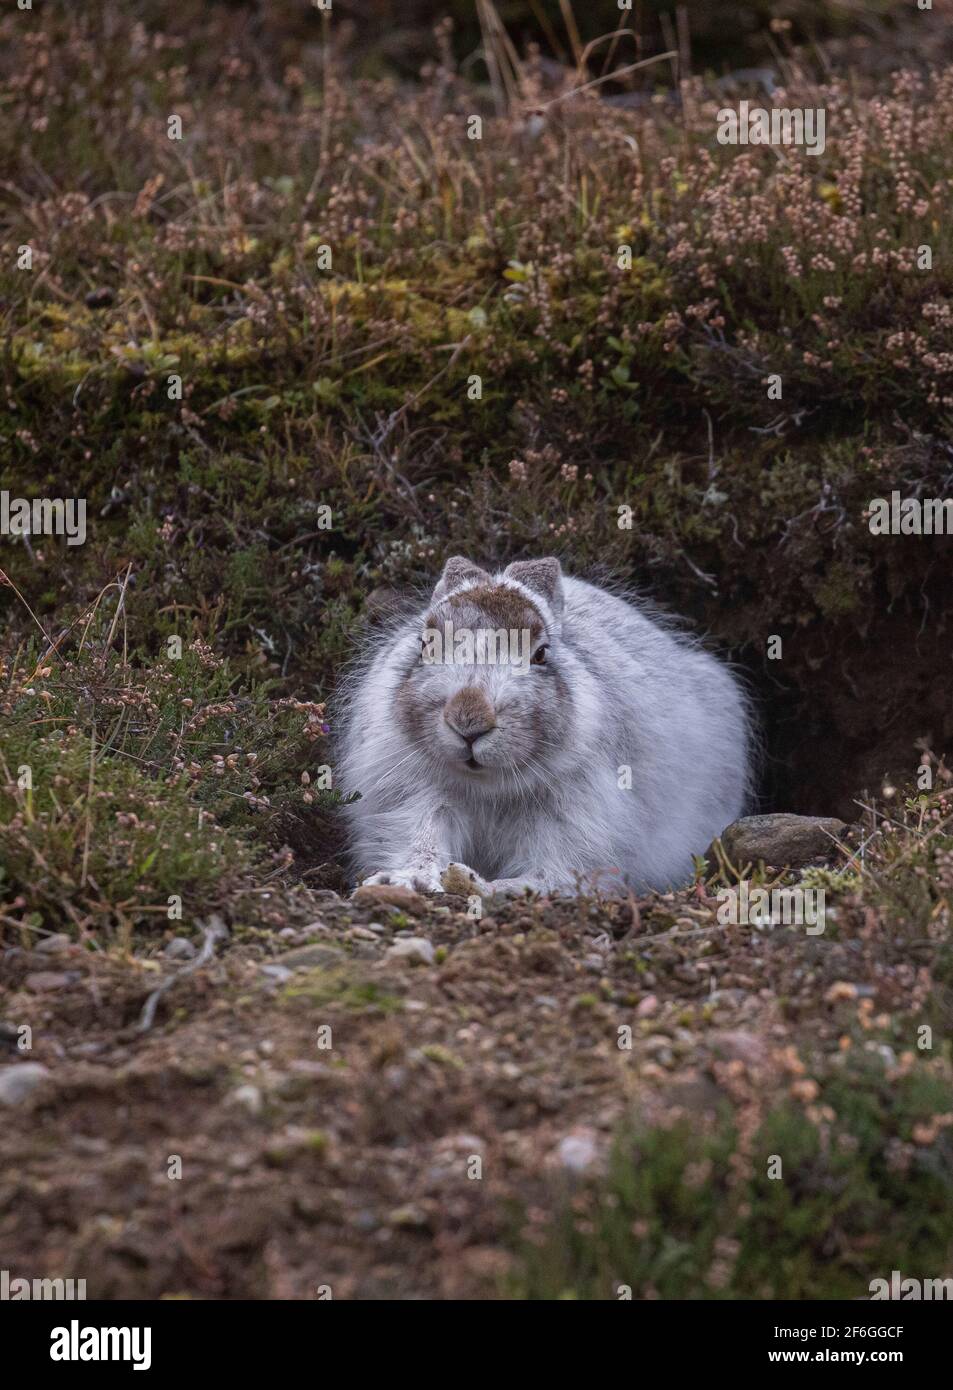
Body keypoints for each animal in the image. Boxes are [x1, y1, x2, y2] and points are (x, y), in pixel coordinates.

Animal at [334, 556, 753, 897]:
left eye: (540, 654)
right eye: (425, 644)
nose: (469, 721)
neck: (488, 786)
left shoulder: (577, 818)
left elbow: (553, 874)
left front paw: (484, 886)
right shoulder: (416, 796)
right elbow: (423, 839)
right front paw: (408, 879)